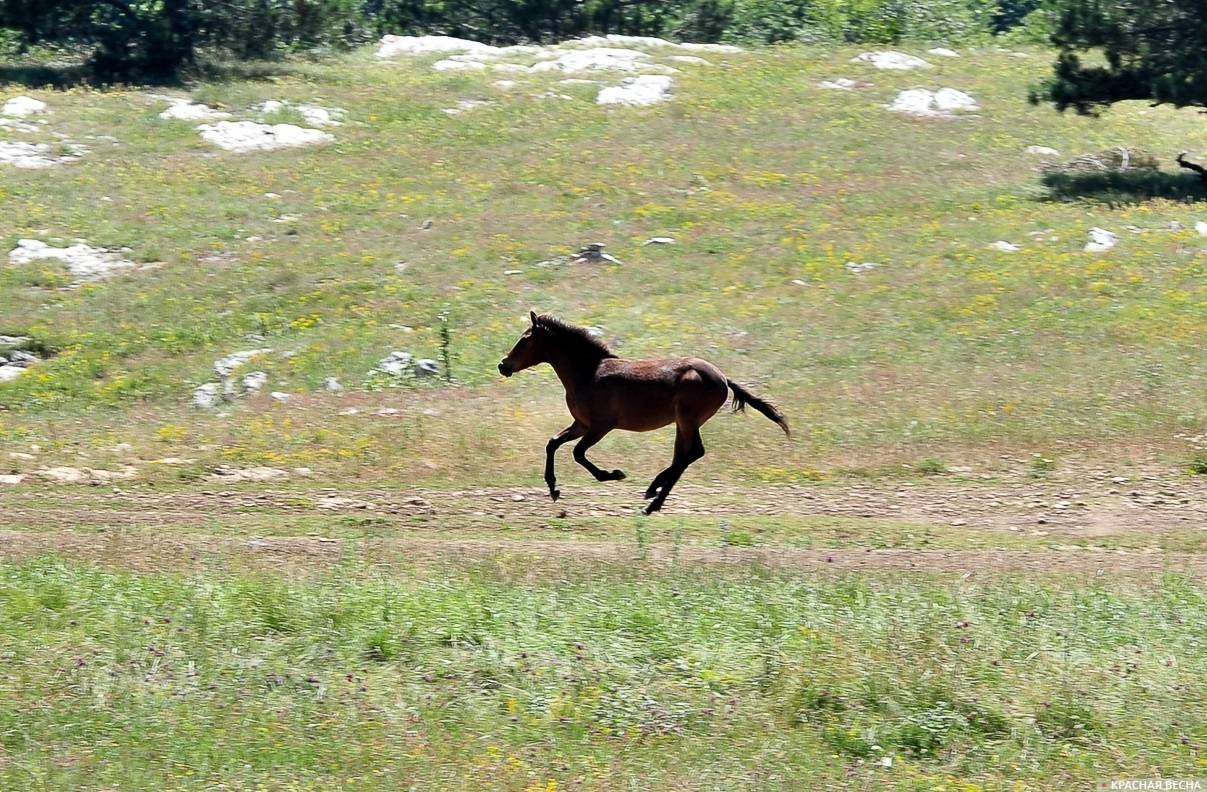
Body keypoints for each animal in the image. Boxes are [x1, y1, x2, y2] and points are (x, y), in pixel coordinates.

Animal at [499, 311, 791, 516]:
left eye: (524, 340)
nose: (503, 365)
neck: (589, 373)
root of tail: (722, 378)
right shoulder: (581, 424)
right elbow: (553, 443)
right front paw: (553, 488)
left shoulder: (600, 426)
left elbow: (578, 454)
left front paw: (613, 474)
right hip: (683, 422)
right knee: (683, 455)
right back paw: (653, 494)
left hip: (687, 419)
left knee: (692, 453)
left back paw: (652, 499)